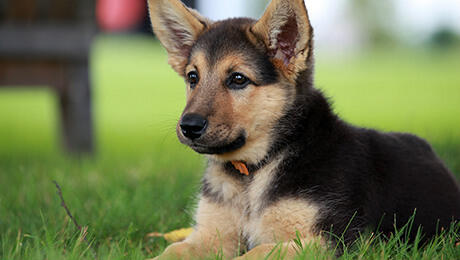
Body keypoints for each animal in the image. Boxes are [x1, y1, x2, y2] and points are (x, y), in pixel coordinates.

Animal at [147, 0, 460, 258]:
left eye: (238, 79)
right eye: (193, 77)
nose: (188, 126)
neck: (256, 168)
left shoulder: (332, 239)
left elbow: (257, 252)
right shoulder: (210, 235)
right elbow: (171, 251)